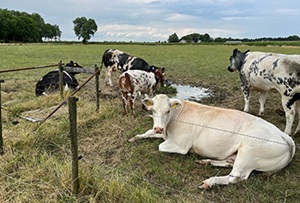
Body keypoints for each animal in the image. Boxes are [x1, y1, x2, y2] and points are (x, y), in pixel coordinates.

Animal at [129, 94, 296, 190]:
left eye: (167, 111)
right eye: (153, 110)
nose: (158, 128)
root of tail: (284, 135)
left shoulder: (180, 145)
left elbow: (160, 146)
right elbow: (147, 133)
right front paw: (135, 137)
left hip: (248, 151)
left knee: (236, 176)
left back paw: (209, 182)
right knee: (229, 163)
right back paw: (206, 162)